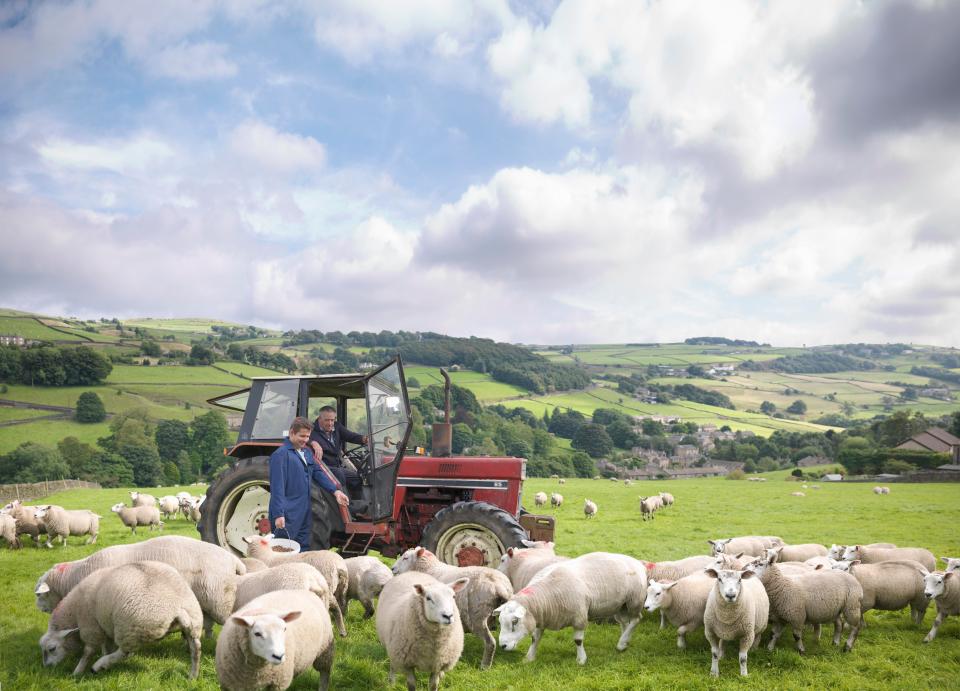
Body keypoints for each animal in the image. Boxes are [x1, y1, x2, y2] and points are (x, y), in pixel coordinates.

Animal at [39, 560, 202, 680]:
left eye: (52, 648)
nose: (46, 667)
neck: (73, 611)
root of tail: (176, 606)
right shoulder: (104, 626)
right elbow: (106, 646)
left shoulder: (91, 627)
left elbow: (88, 651)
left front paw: (77, 672)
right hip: (194, 622)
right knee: (196, 648)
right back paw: (192, 676)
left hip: (129, 628)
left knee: (125, 653)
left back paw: (99, 665)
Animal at [498, 552, 648, 664]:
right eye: (500, 622)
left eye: (515, 621)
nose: (502, 646)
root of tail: (637, 562)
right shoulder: (540, 617)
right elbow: (535, 638)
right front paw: (529, 658)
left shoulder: (579, 617)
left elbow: (578, 640)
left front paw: (581, 659)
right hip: (621, 606)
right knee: (625, 623)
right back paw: (624, 642)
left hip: (635, 600)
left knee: (636, 619)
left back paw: (621, 643)